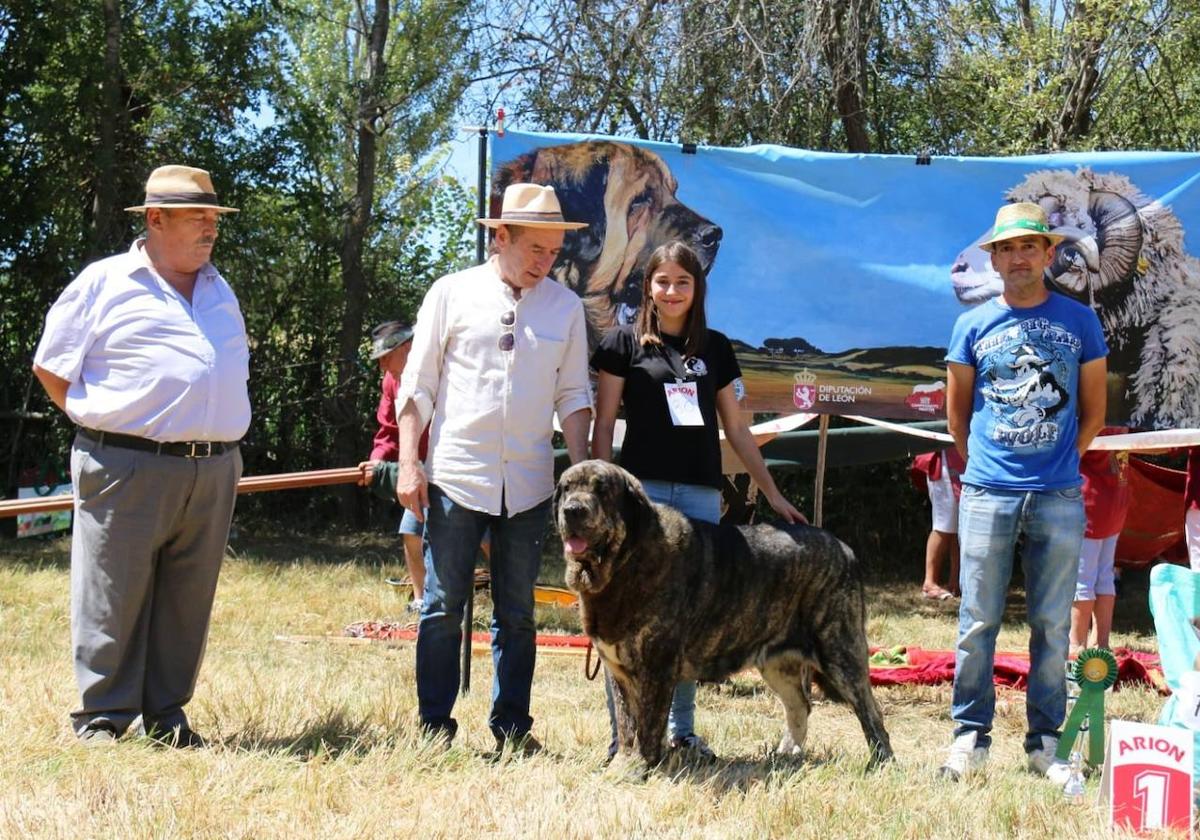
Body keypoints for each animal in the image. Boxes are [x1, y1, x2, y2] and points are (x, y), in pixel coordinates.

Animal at [552, 458, 892, 768]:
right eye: (566, 488)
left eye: (601, 489)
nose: (572, 510)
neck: (625, 561)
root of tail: (845, 549)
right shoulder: (618, 670)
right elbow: (626, 725)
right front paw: (621, 764)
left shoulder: (656, 668)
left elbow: (647, 724)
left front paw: (638, 768)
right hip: (778, 664)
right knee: (800, 705)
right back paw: (786, 754)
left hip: (841, 653)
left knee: (870, 711)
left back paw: (881, 762)